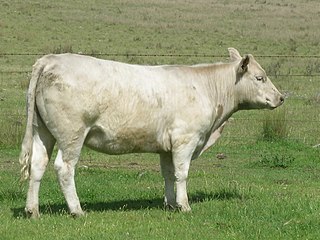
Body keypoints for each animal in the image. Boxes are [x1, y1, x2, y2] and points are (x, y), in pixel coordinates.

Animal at [18, 47, 284, 218]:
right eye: (260, 77)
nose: (281, 97)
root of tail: (51, 59)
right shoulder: (185, 140)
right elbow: (182, 174)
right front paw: (185, 206)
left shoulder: (167, 146)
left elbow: (168, 174)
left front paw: (171, 204)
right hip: (72, 133)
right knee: (64, 168)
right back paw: (77, 210)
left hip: (43, 131)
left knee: (38, 165)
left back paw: (33, 210)